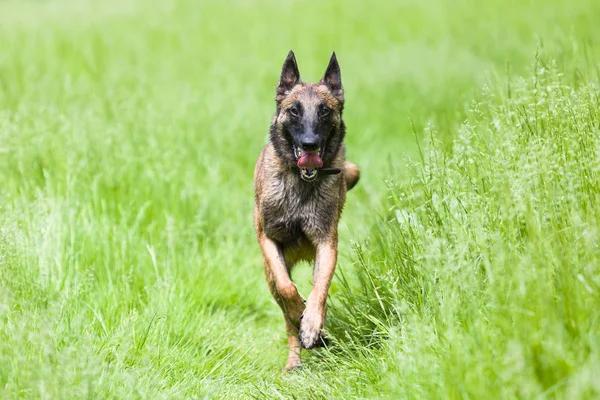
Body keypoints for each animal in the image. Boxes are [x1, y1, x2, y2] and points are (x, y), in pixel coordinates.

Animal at [252, 50, 358, 372]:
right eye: (295, 111)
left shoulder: (327, 244)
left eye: (324, 111)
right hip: (270, 273)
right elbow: (288, 290)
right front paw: (299, 312)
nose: (310, 143)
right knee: (285, 311)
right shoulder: (268, 240)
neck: (301, 182)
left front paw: (311, 325)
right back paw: (293, 361)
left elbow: (319, 292)